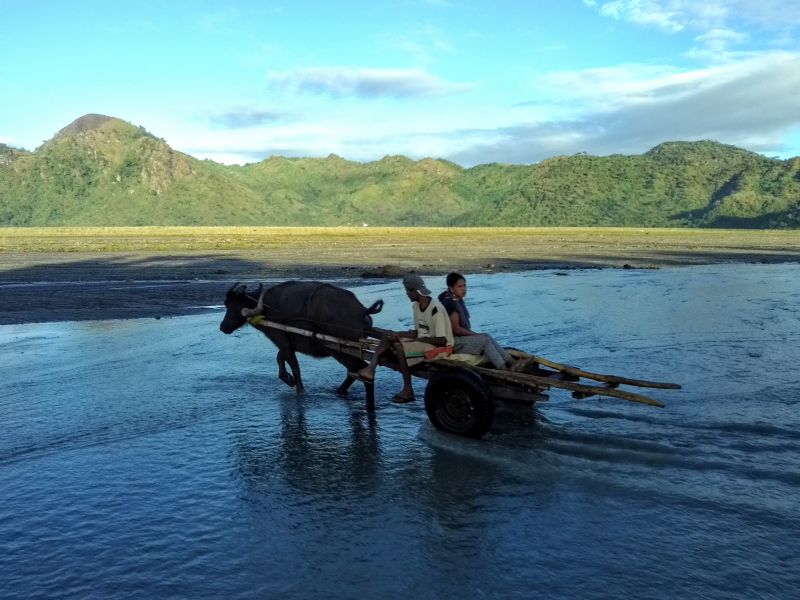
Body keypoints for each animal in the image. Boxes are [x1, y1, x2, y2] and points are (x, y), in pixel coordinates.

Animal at [217, 282, 382, 400]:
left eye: (231, 305)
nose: (223, 327)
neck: (264, 308)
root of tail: (362, 310)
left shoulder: (281, 339)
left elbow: (294, 366)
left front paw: (299, 390)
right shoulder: (288, 343)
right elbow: (280, 357)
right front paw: (287, 378)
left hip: (340, 350)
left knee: (362, 371)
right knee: (354, 372)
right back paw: (339, 391)